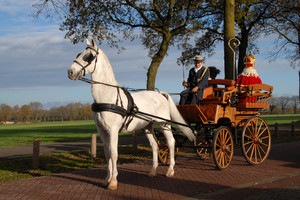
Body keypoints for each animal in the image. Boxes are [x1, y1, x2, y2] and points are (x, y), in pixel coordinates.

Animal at [67, 38, 195, 190]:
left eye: (89, 56)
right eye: (79, 54)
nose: (70, 71)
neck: (108, 96)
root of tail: (160, 94)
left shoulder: (113, 130)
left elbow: (114, 154)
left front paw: (113, 181)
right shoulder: (102, 130)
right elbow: (107, 154)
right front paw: (106, 179)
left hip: (164, 124)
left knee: (170, 143)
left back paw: (170, 170)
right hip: (148, 126)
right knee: (154, 145)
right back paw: (153, 171)